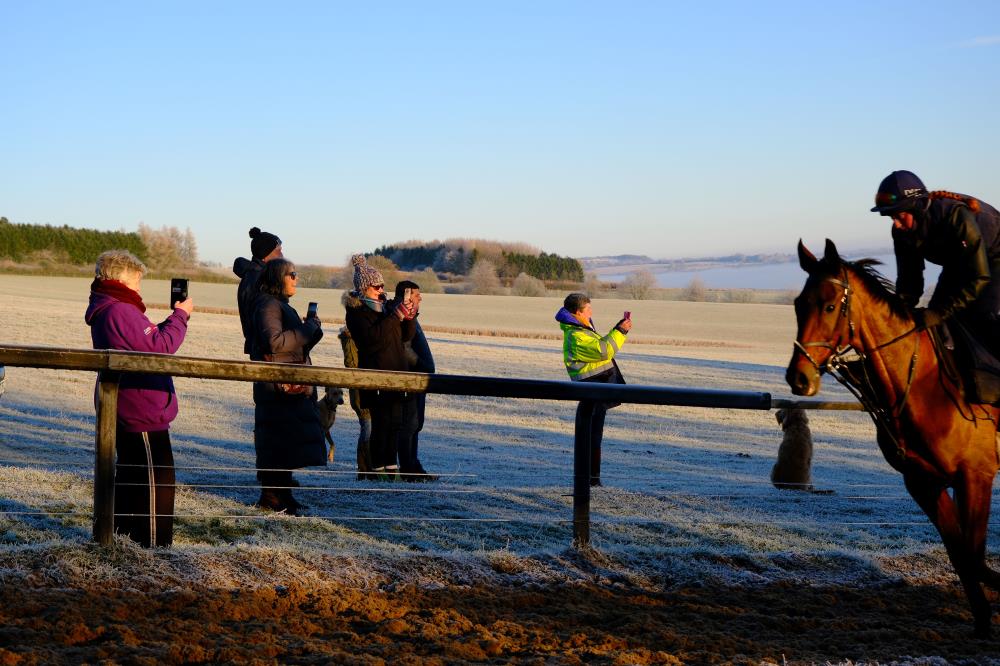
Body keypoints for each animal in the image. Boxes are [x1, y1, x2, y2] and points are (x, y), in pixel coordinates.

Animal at [786, 238, 1000, 637]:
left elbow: (975, 556)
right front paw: (981, 620)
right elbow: (961, 555)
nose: (799, 378)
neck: (923, 384)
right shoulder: (923, 482)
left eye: (829, 305)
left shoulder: (976, 475)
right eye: (797, 303)